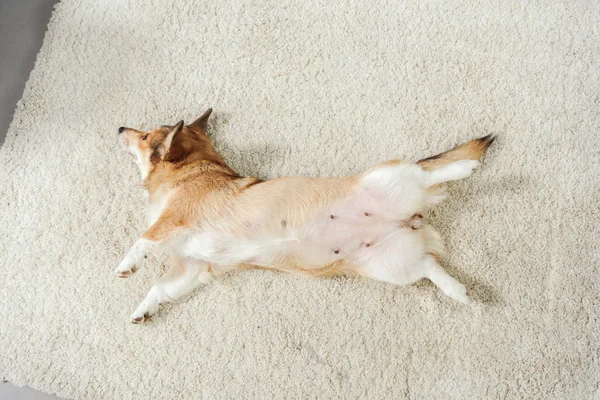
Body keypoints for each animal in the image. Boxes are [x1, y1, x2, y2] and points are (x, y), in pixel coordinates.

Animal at [116, 108, 492, 322]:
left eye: (145, 135)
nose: (120, 129)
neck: (189, 171)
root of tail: (410, 220)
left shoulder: (173, 221)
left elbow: (143, 240)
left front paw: (126, 266)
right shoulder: (191, 266)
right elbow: (160, 288)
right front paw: (143, 310)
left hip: (390, 179)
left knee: (429, 173)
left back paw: (465, 167)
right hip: (393, 267)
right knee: (429, 266)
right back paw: (459, 290)